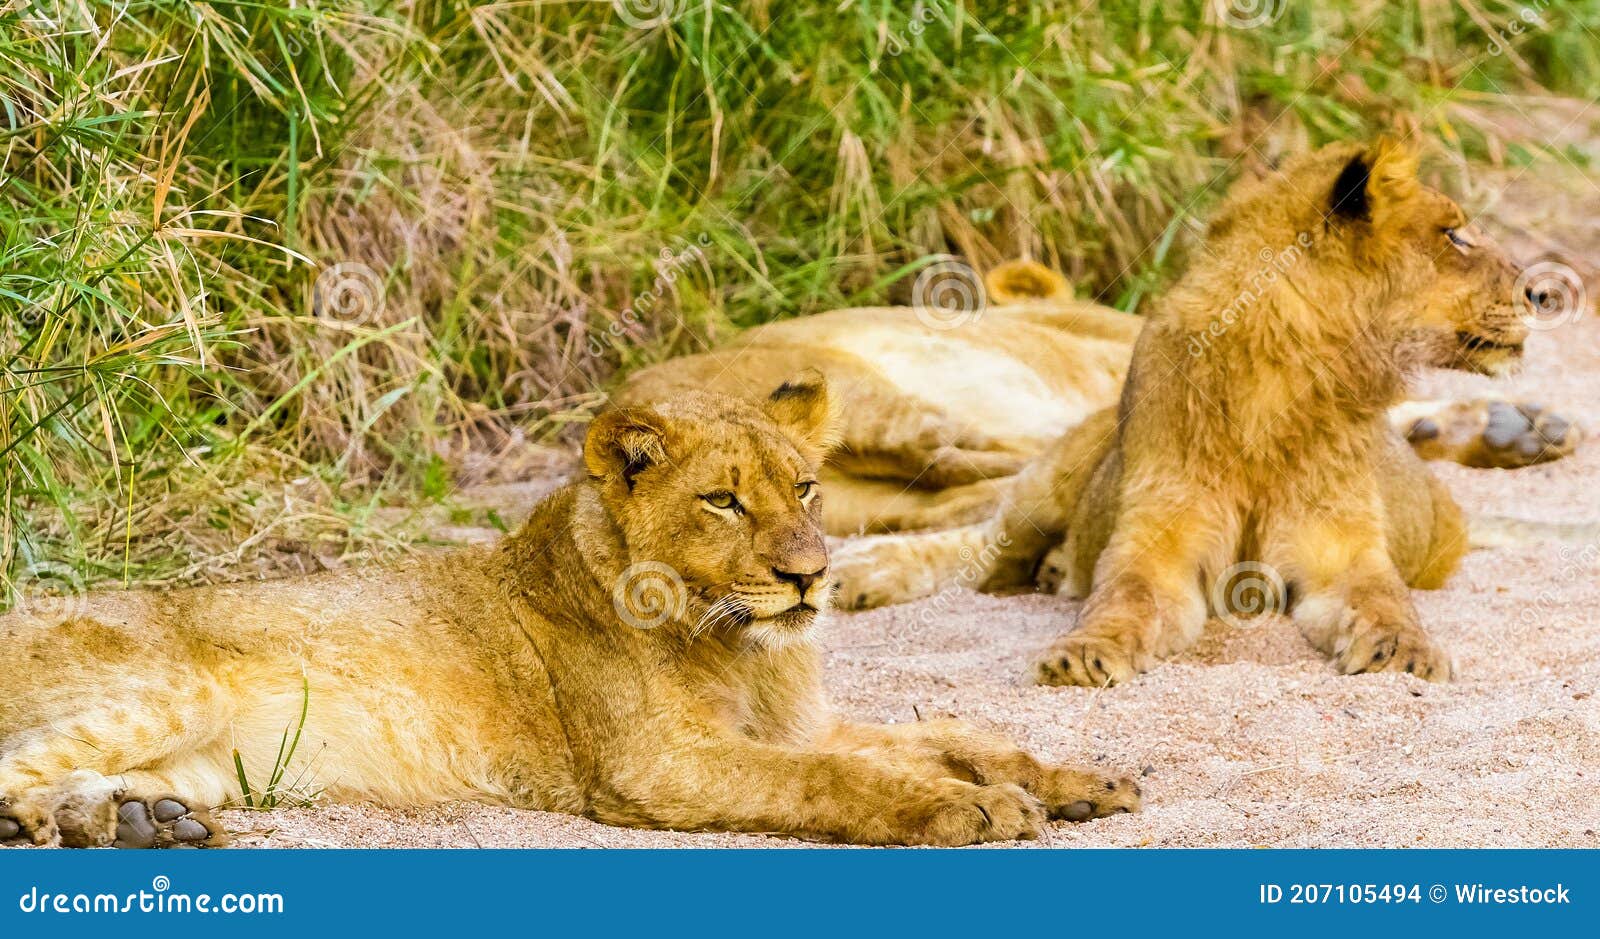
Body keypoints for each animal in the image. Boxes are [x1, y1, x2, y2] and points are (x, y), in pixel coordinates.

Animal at [0, 376, 1139, 849]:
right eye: (723, 501)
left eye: (807, 488)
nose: (814, 576)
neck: (746, 648)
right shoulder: (655, 767)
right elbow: (838, 780)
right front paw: (970, 810)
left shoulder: (796, 721)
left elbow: (959, 731)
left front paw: (1082, 782)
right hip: (170, 688)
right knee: (16, 769)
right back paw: (61, 823)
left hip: (208, 759)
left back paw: (134, 825)